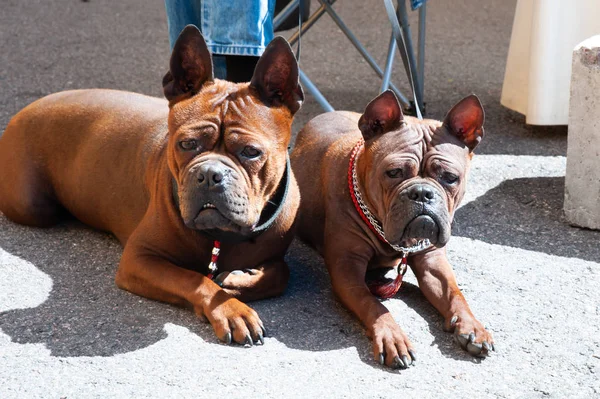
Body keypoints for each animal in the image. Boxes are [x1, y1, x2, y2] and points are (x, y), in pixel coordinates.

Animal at [0, 26, 302, 346]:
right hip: (33, 206)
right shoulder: (139, 259)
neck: (222, 236)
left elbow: (280, 273)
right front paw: (231, 310)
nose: (209, 174)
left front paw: (236, 280)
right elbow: (194, 279)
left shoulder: (276, 255)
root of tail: (27, 108)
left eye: (251, 152)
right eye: (187, 144)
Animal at [290, 90, 492, 368]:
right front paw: (392, 336)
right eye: (394, 172)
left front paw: (472, 325)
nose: (422, 193)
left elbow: (455, 293)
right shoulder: (347, 268)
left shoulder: (432, 260)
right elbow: (374, 304)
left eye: (450, 178)